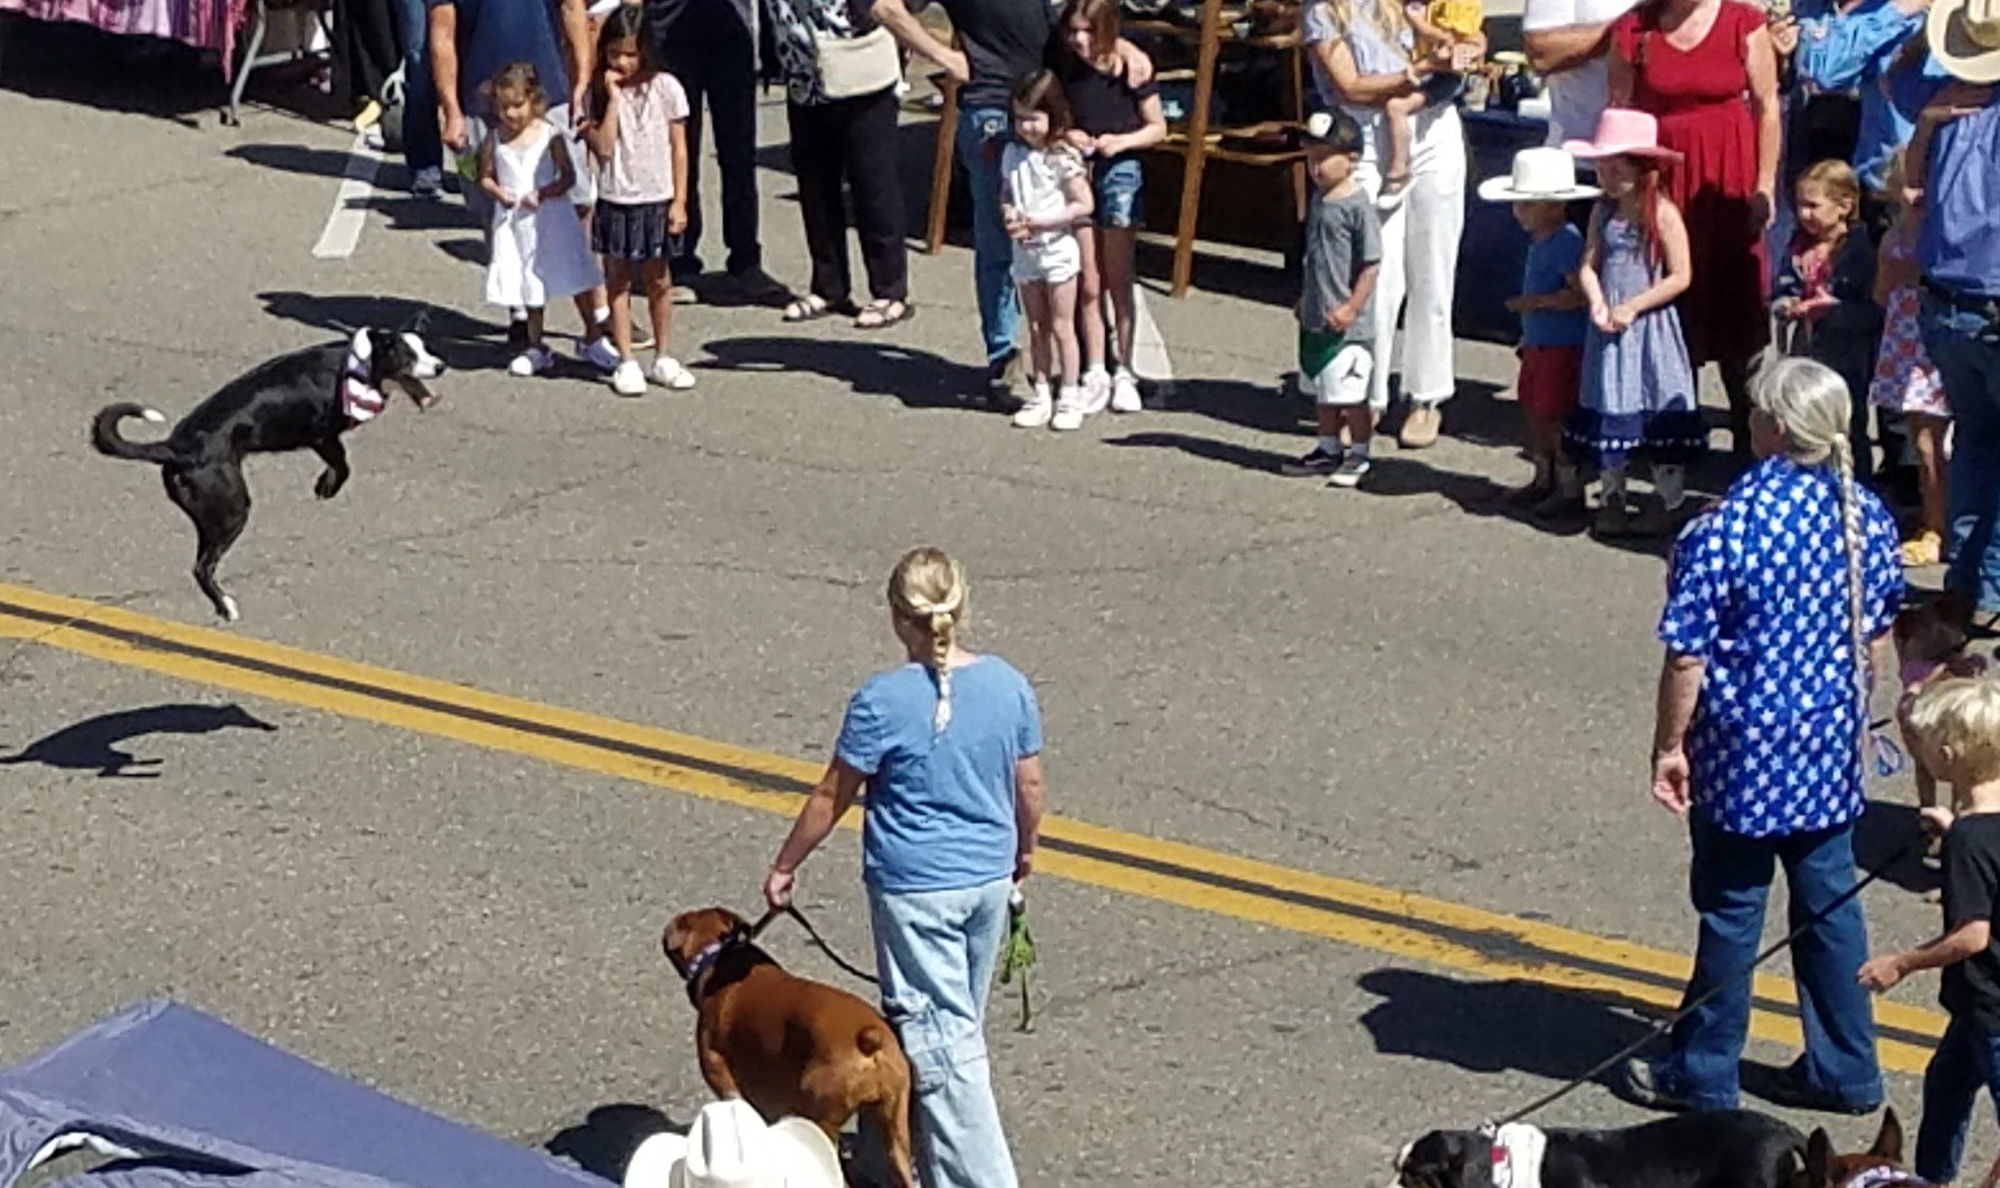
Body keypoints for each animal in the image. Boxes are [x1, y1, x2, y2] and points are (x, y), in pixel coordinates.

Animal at [91, 329, 445, 621]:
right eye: (408, 355)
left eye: (426, 347)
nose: (441, 366)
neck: (358, 365)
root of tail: (175, 447)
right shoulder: (322, 437)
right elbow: (343, 465)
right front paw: (327, 487)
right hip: (232, 509)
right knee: (202, 567)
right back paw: (226, 605)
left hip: (213, 514)